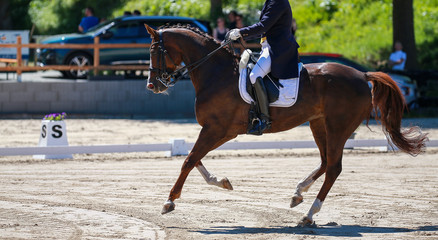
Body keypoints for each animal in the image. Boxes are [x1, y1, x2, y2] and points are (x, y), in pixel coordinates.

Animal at [144, 24, 428, 225]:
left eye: (154, 52)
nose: (152, 86)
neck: (216, 74)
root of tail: (361, 74)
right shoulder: (215, 130)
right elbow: (195, 158)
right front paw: (221, 181)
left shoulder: (219, 129)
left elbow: (189, 160)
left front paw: (169, 202)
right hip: (319, 124)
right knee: (325, 162)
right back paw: (298, 194)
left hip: (338, 127)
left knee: (333, 168)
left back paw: (309, 215)